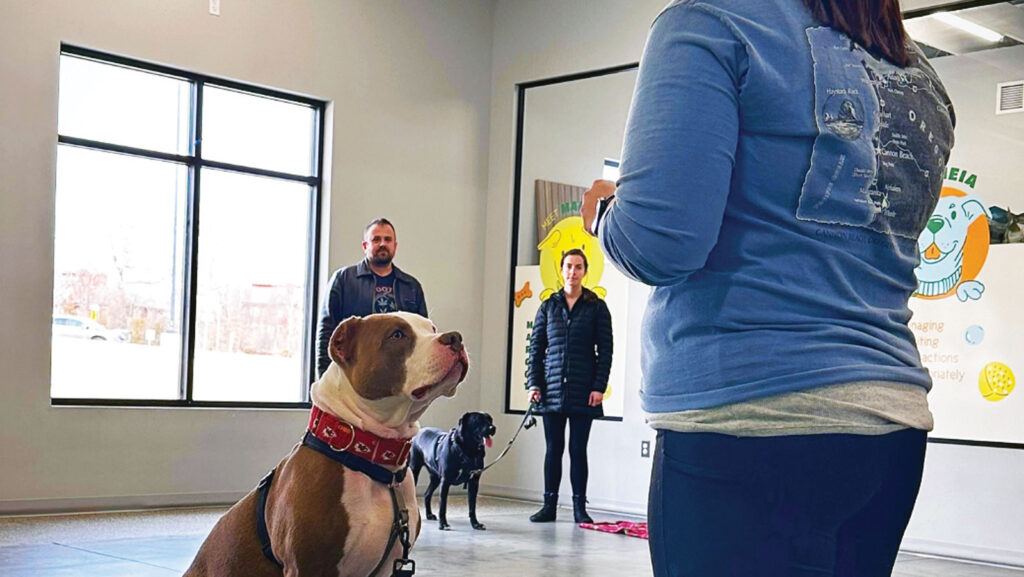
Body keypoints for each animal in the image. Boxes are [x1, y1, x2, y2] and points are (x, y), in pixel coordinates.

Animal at [184, 313, 468, 573]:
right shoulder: (306, 565)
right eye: (397, 335)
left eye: (432, 329)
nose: (455, 337)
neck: (373, 460)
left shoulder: (390, 564)